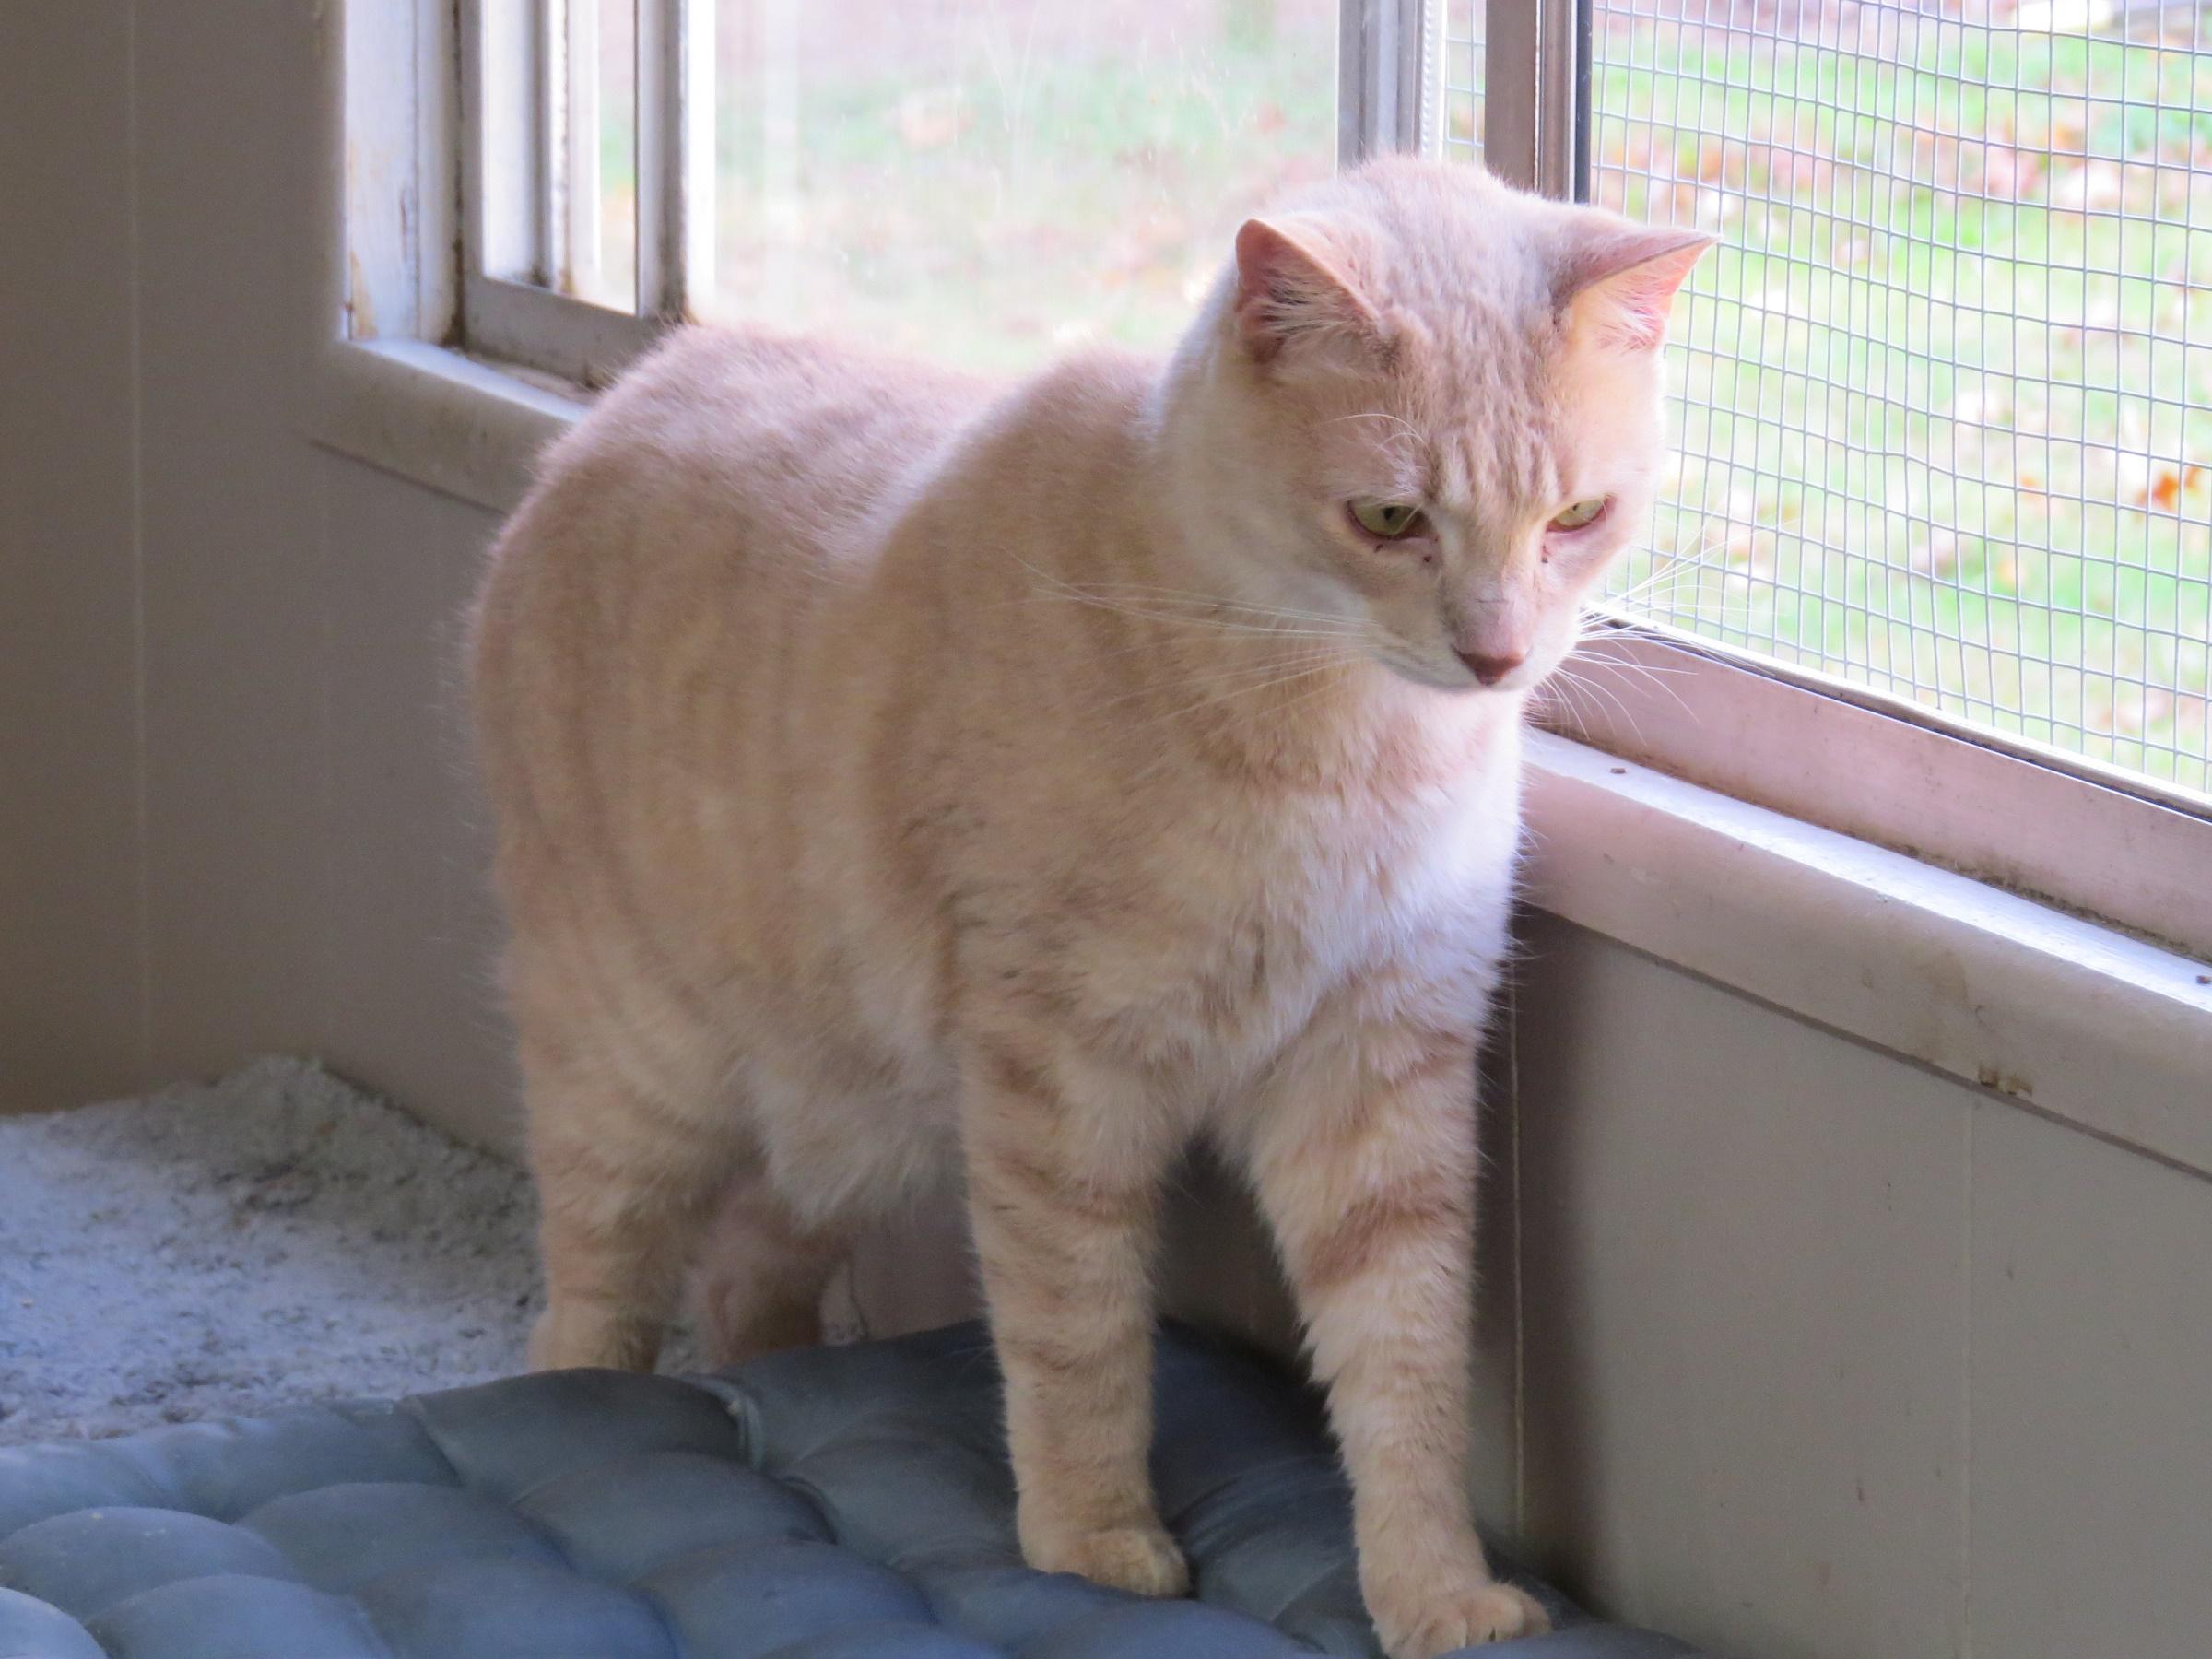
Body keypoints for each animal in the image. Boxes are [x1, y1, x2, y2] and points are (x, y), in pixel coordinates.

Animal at [471, 152, 1707, 1654]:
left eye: (1576, 520)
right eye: (1391, 519)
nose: (1498, 655)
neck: (1341, 750)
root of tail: (619, 401)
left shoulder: (1379, 1084)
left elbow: (1404, 1368)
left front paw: (1432, 1591)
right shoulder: (1057, 1087)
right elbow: (1078, 1341)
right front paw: (1092, 1546)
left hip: (858, 1116)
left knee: (746, 1273)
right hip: (639, 1074)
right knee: (593, 1305)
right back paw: (582, 1405)